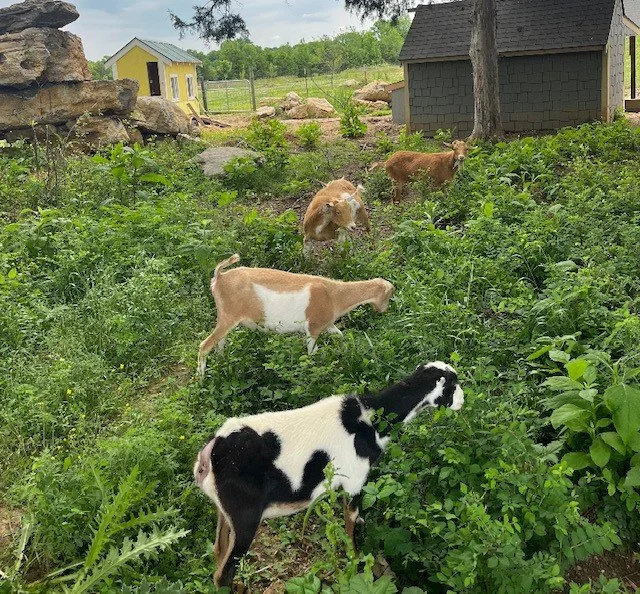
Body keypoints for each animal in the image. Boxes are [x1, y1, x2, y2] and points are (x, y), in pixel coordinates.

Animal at [194, 361, 465, 589]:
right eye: (452, 385)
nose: (462, 400)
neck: (369, 418)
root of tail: (211, 453)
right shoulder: (355, 481)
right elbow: (350, 523)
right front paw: (355, 561)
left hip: (225, 511)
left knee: (218, 551)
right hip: (245, 517)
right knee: (223, 572)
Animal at [197, 254, 394, 376]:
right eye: (390, 294)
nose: (383, 310)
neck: (333, 294)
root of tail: (219, 277)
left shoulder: (327, 324)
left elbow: (340, 335)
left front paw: (342, 353)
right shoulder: (313, 328)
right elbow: (312, 353)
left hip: (226, 320)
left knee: (220, 342)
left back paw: (224, 364)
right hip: (228, 318)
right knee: (205, 345)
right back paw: (201, 379)